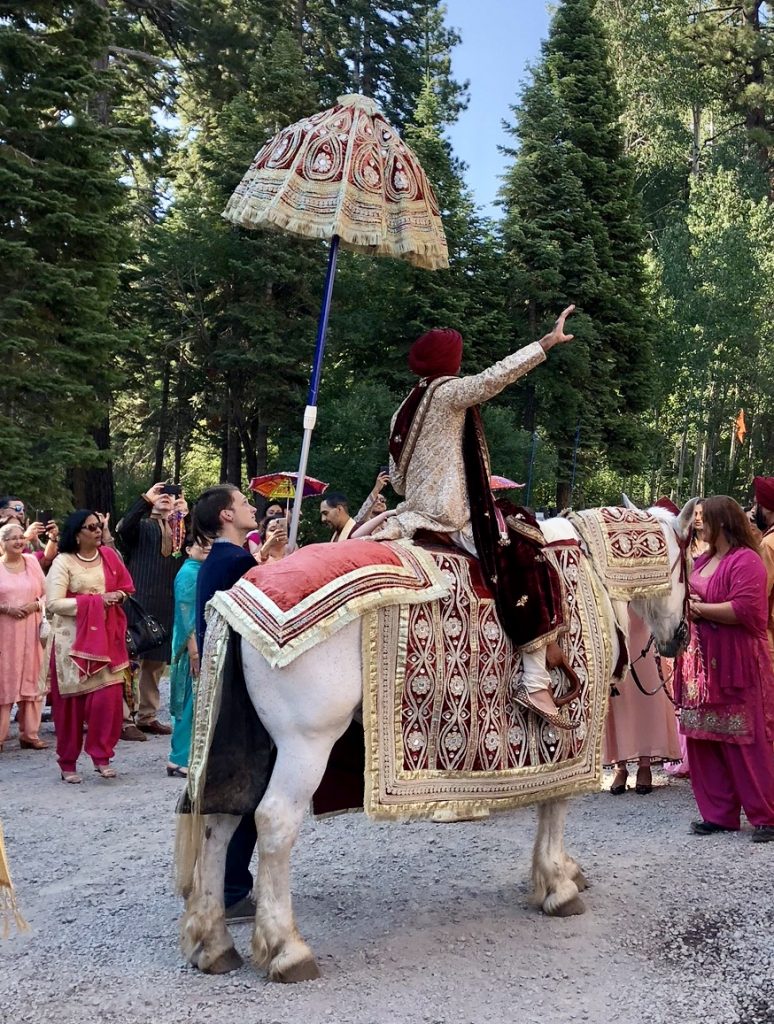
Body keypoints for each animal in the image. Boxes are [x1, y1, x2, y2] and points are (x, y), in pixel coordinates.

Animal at [177, 503, 696, 983]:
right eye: (689, 560)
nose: (681, 636)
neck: (588, 571)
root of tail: (238, 598)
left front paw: (565, 871)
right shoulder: (574, 729)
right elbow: (557, 803)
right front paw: (558, 884)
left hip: (254, 746)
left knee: (220, 820)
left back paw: (213, 943)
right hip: (305, 744)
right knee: (273, 822)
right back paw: (286, 948)